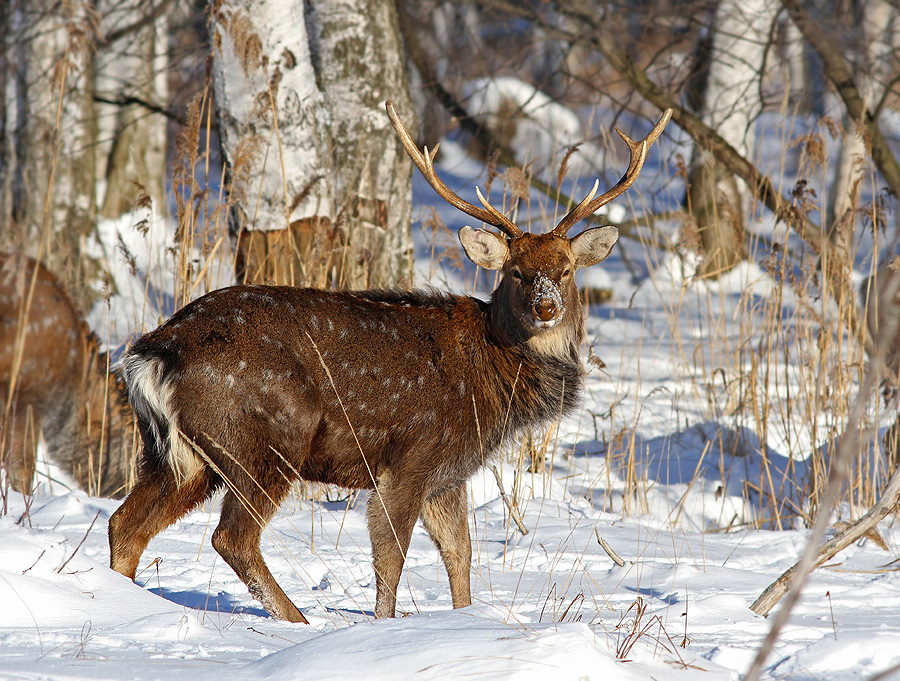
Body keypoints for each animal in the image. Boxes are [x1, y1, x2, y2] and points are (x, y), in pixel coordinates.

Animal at [109, 99, 672, 620]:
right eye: (516, 271)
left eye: (567, 269)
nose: (547, 306)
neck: (491, 377)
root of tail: (152, 354)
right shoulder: (411, 455)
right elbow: (391, 558)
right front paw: (387, 627)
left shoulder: (449, 473)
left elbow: (460, 555)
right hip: (265, 438)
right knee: (232, 536)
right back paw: (299, 621)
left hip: (178, 454)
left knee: (125, 523)